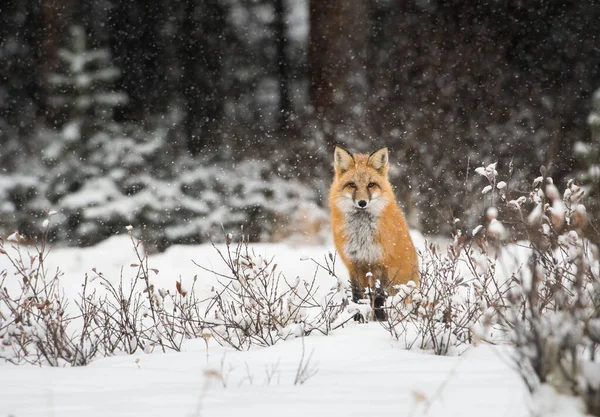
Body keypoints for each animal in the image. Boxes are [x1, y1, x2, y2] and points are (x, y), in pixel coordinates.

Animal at [328, 146, 418, 316]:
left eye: (371, 185)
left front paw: (381, 319)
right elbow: (357, 297)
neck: (362, 235)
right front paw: (358, 318)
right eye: (352, 185)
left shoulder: (381, 263)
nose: (362, 202)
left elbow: (380, 298)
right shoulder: (354, 263)